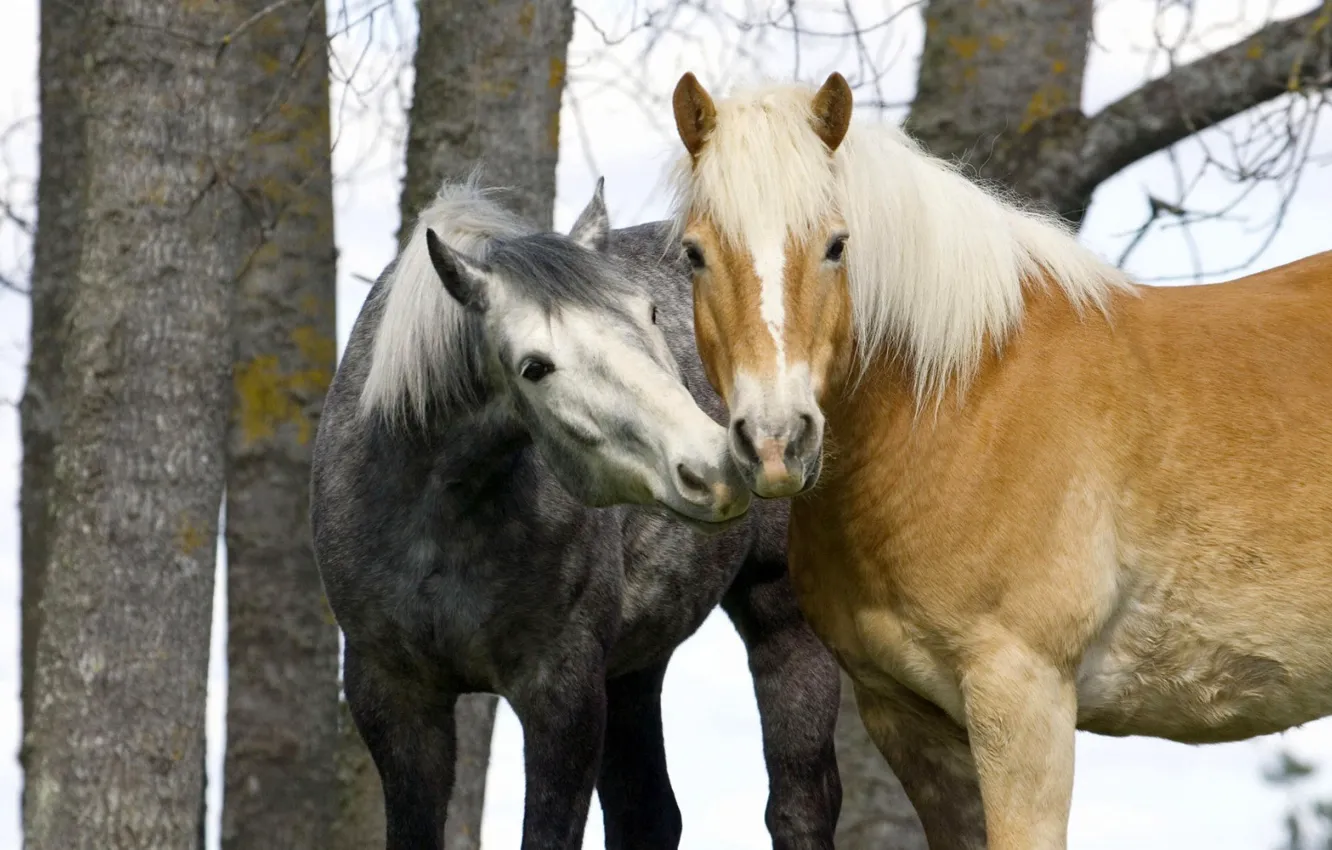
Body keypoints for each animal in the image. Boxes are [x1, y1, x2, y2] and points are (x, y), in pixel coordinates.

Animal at [310, 175, 843, 850]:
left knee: (799, 806)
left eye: (649, 315)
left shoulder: (562, 693)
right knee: (648, 813)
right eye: (534, 367)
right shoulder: (393, 697)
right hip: (636, 662)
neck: (438, 514)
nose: (716, 468)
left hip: (782, 620)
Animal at [665, 71, 1332, 850]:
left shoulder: (1022, 697)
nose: (776, 440)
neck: (963, 399)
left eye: (836, 245)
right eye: (695, 254)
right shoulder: (909, 722)